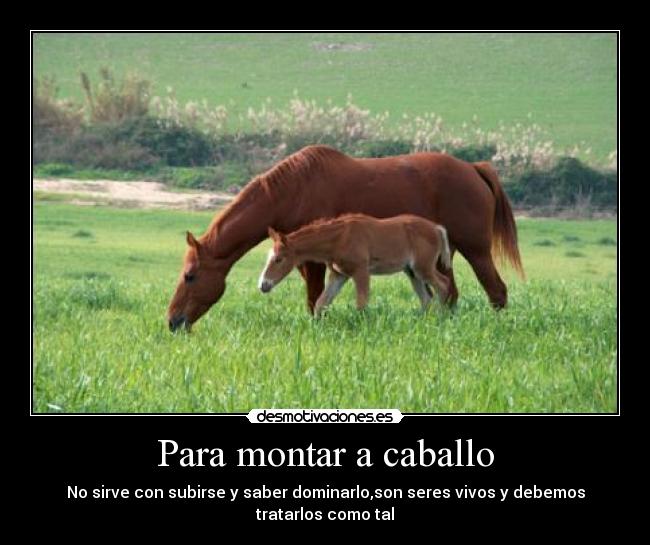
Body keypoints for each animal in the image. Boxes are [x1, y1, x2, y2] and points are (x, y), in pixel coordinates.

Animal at [258, 214, 452, 316]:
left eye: (278, 259)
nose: (263, 285)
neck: (339, 238)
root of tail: (436, 228)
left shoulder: (361, 271)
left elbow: (361, 304)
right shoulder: (339, 275)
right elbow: (322, 302)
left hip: (423, 267)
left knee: (443, 285)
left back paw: (441, 318)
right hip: (411, 271)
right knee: (426, 299)